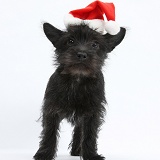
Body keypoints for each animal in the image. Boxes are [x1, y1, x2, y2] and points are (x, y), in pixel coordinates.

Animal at [33, 22, 125, 160]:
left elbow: (89, 134)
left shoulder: (92, 113)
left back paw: (77, 150)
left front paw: (91, 155)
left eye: (95, 44)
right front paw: (44, 154)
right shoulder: (51, 109)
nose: (81, 54)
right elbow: (49, 132)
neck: (78, 78)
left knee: (79, 130)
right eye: (70, 41)